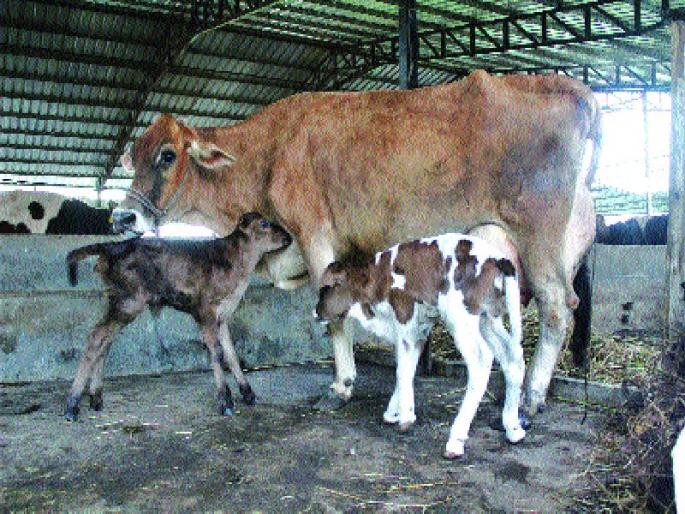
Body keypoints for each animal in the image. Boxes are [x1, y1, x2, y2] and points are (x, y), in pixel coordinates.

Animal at [64, 212, 291, 421]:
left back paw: (95, 398)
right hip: (128, 301)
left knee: (105, 340)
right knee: (96, 336)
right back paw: (72, 404)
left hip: (119, 302)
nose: (288, 237)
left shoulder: (223, 315)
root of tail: (112, 247)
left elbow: (231, 353)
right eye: (264, 223)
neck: (236, 262)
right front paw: (225, 401)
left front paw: (248, 394)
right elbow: (216, 353)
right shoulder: (206, 311)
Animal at [111, 69, 601, 416]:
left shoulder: (315, 237)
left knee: (558, 307)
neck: (269, 153)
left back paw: (531, 398)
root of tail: (572, 87)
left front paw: (341, 387)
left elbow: (333, 318)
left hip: (539, 238)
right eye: (133, 155)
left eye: (167, 155)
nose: (122, 216)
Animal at [314, 233, 526, 459]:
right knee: (513, 357)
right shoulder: (419, 330)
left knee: (481, 360)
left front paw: (405, 417)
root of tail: (499, 259)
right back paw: (513, 429)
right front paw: (394, 412)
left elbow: (401, 369)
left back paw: (455, 441)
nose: (315, 311)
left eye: (326, 288)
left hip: (460, 319)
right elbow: (407, 368)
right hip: (488, 318)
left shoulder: (404, 318)